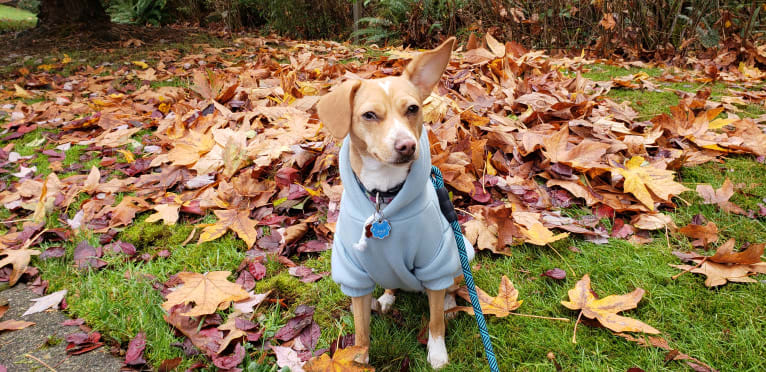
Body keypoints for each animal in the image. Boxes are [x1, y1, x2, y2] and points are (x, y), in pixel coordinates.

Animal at [316, 37, 474, 370]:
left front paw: (437, 351)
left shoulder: (435, 264)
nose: (406, 145)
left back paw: (449, 301)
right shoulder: (354, 275)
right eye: (369, 115)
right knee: (392, 283)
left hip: (458, 253)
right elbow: (361, 330)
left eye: (413, 108)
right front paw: (358, 359)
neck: (383, 197)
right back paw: (388, 297)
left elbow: (436, 321)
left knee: (451, 288)